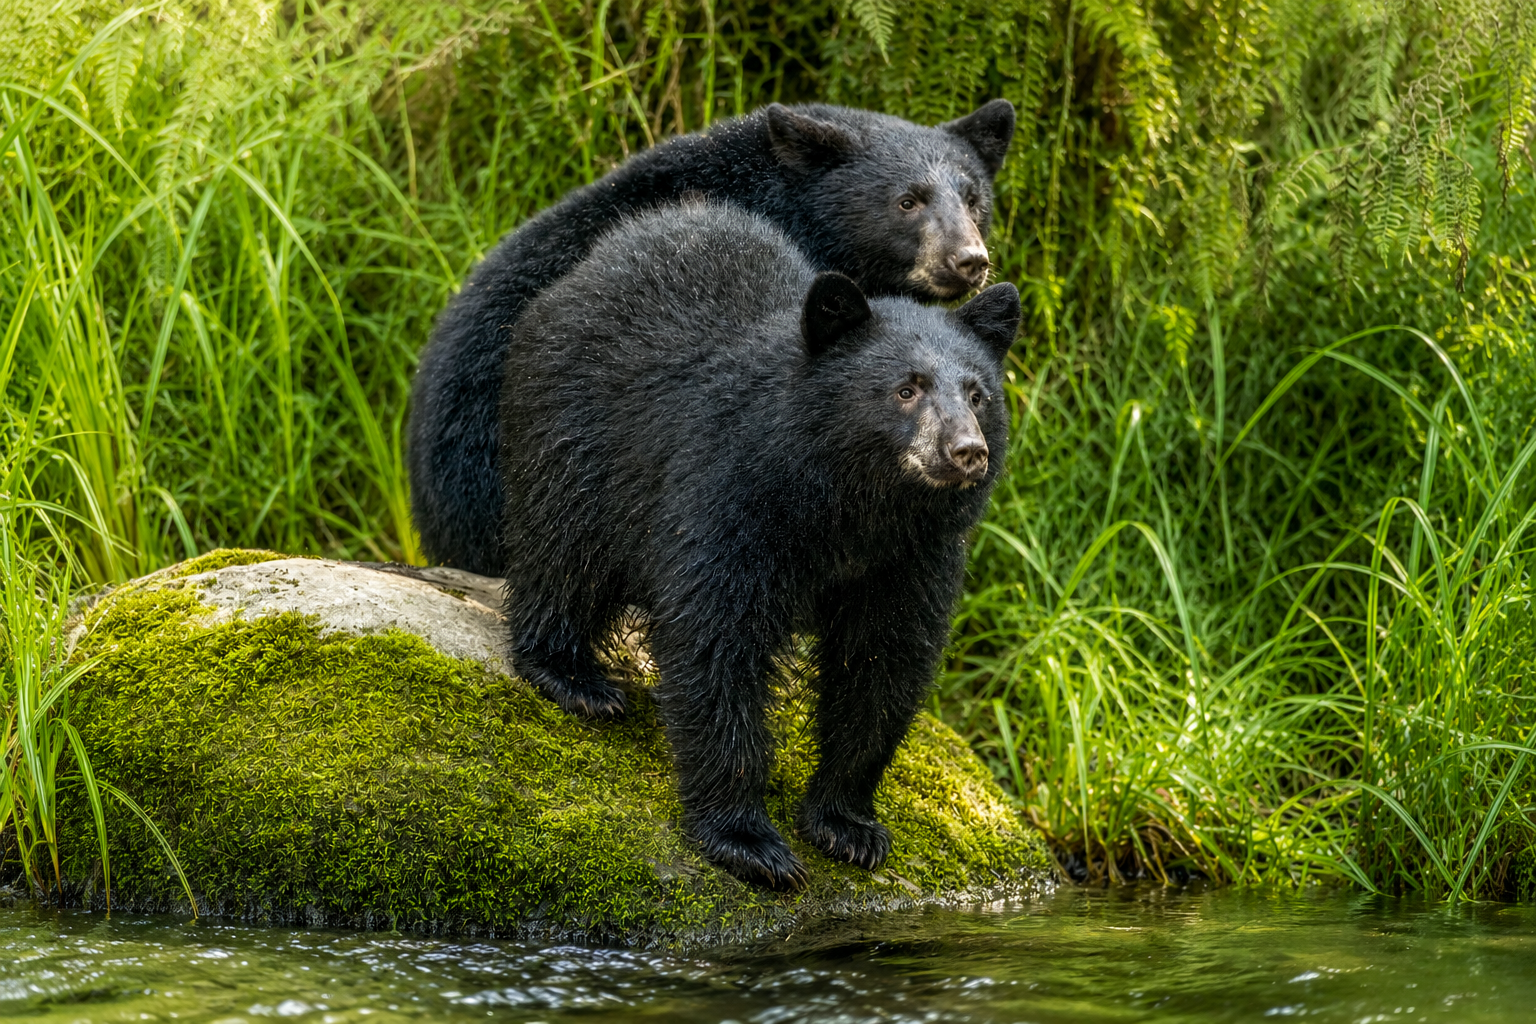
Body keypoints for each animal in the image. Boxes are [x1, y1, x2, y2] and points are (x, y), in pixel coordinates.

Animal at [498, 202, 1020, 891]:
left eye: (977, 394)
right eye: (907, 388)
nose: (966, 452)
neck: (850, 506)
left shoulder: (911, 555)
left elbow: (884, 662)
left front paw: (847, 824)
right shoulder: (730, 494)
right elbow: (719, 641)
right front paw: (748, 840)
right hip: (577, 434)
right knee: (564, 550)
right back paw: (573, 676)